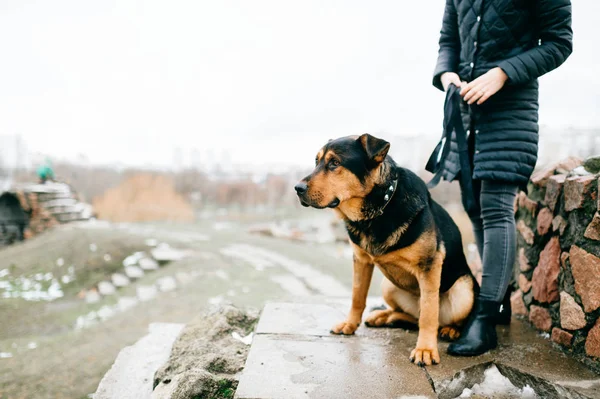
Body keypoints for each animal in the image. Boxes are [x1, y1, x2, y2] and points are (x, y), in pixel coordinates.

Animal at [296, 134, 478, 366]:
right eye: (316, 161)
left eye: (334, 163)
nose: (297, 188)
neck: (376, 210)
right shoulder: (361, 260)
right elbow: (357, 297)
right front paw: (350, 324)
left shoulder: (430, 265)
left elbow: (429, 313)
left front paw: (426, 349)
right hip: (388, 285)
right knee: (413, 316)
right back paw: (385, 317)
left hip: (464, 290)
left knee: (436, 318)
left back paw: (451, 330)